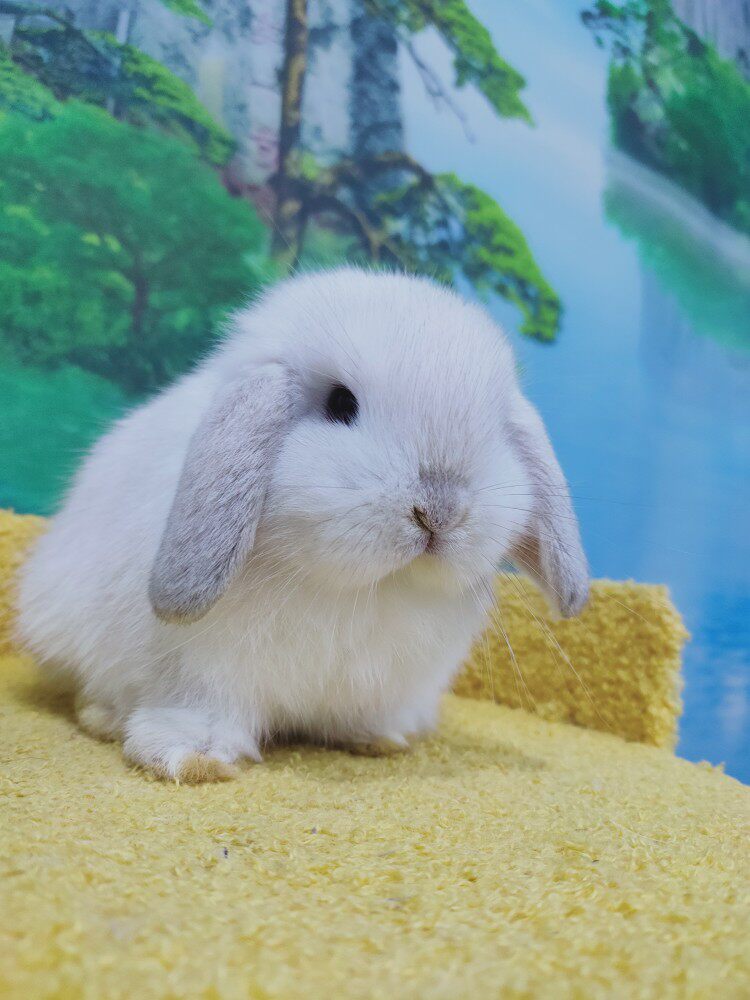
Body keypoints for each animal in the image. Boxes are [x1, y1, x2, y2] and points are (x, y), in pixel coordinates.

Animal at [16, 268, 588, 783]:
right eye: (340, 403)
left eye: (494, 429)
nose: (440, 510)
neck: (358, 590)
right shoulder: (199, 674)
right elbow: (197, 713)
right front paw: (195, 760)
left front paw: (381, 739)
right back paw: (105, 718)